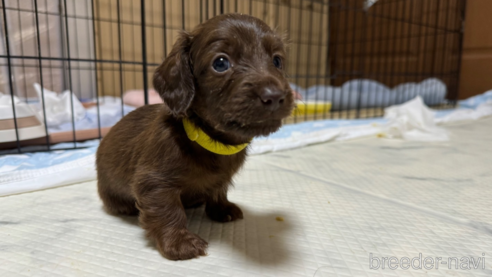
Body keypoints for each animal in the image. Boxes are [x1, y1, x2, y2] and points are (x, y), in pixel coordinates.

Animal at [98, 13, 294, 258]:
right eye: (220, 63)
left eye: (277, 61)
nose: (275, 96)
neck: (210, 142)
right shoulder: (154, 183)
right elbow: (168, 210)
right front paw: (179, 242)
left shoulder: (221, 178)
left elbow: (218, 190)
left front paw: (222, 209)